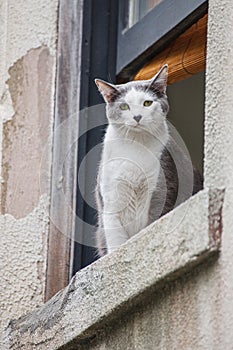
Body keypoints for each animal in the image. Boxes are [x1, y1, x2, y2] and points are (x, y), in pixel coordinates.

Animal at [94, 65, 202, 258]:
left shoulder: (162, 187)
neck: (135, 146)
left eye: (147, 103)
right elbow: (115, 240)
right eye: (124, 106)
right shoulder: (111, 198)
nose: (137, 116)